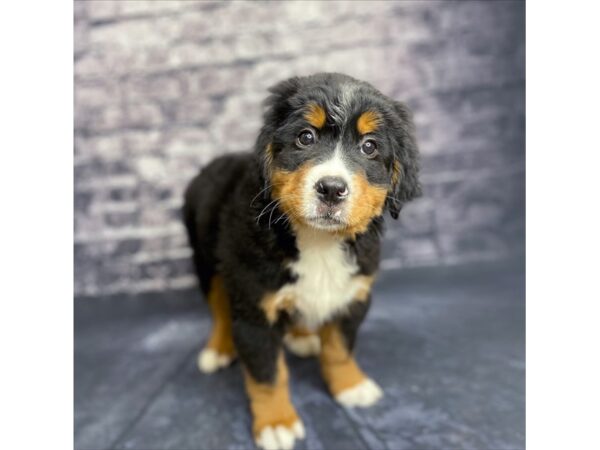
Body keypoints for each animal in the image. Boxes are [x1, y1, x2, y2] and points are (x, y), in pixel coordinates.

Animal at [183, 74, 422, 450]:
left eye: (369, 147)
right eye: (305, 137)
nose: (332, 188)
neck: (318, 242)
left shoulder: (353, 296)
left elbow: (339, 349)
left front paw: (350, 386)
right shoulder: (255, 311)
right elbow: (268, 374)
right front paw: (276, 423)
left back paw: (301, 335)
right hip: (206, 262)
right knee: (219, 308)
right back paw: (218, 349)